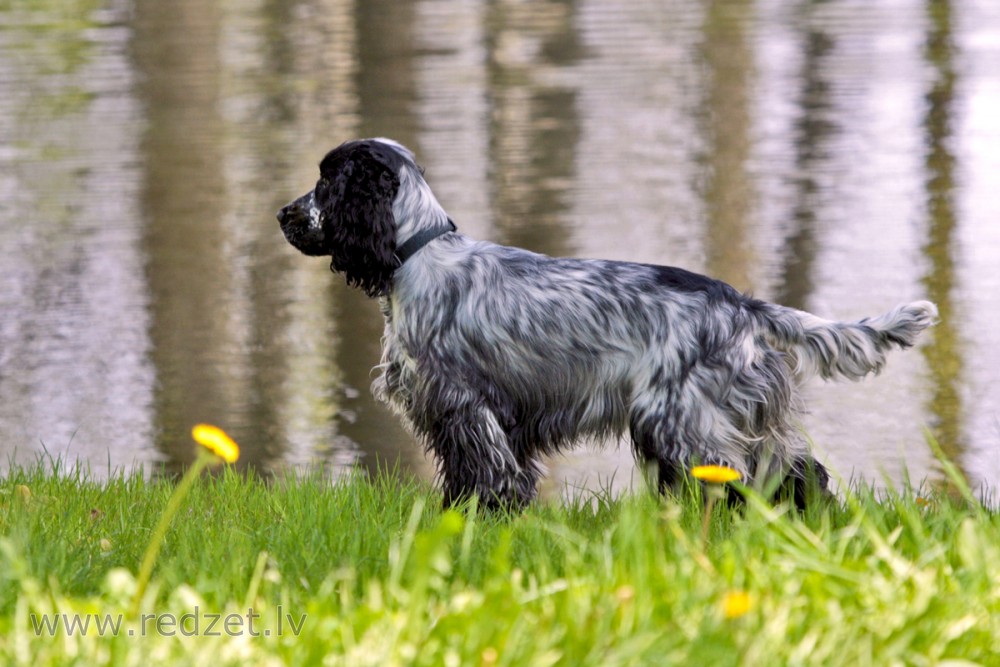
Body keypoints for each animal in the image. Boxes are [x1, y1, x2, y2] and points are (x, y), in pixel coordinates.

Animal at [278, 137, 940, 512]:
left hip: (683, 420)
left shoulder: (463, 406)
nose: (283, 213)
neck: (418, 253)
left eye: (326, 180)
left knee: (744, 480)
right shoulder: (493, 416)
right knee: (801, 473)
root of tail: (741, 304)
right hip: (729, 421)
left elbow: (487, 479)